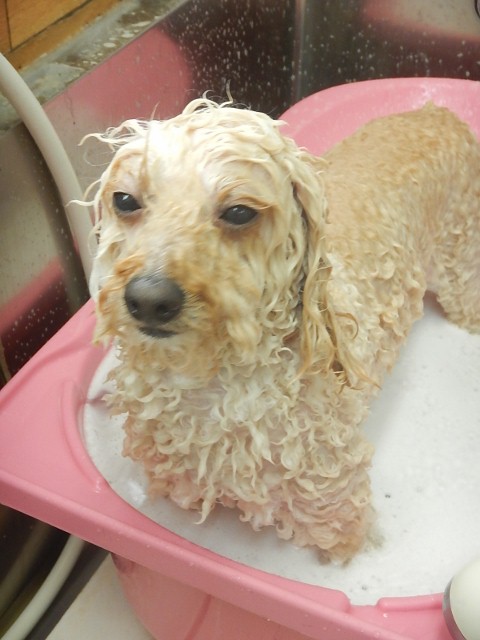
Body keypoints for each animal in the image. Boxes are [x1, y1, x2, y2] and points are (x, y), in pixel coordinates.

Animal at [88, 99, 480, 561]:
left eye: (239, 211)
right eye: (125, 200)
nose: (150, 298)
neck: (218, 389)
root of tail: (437, 112)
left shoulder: (339, 518)